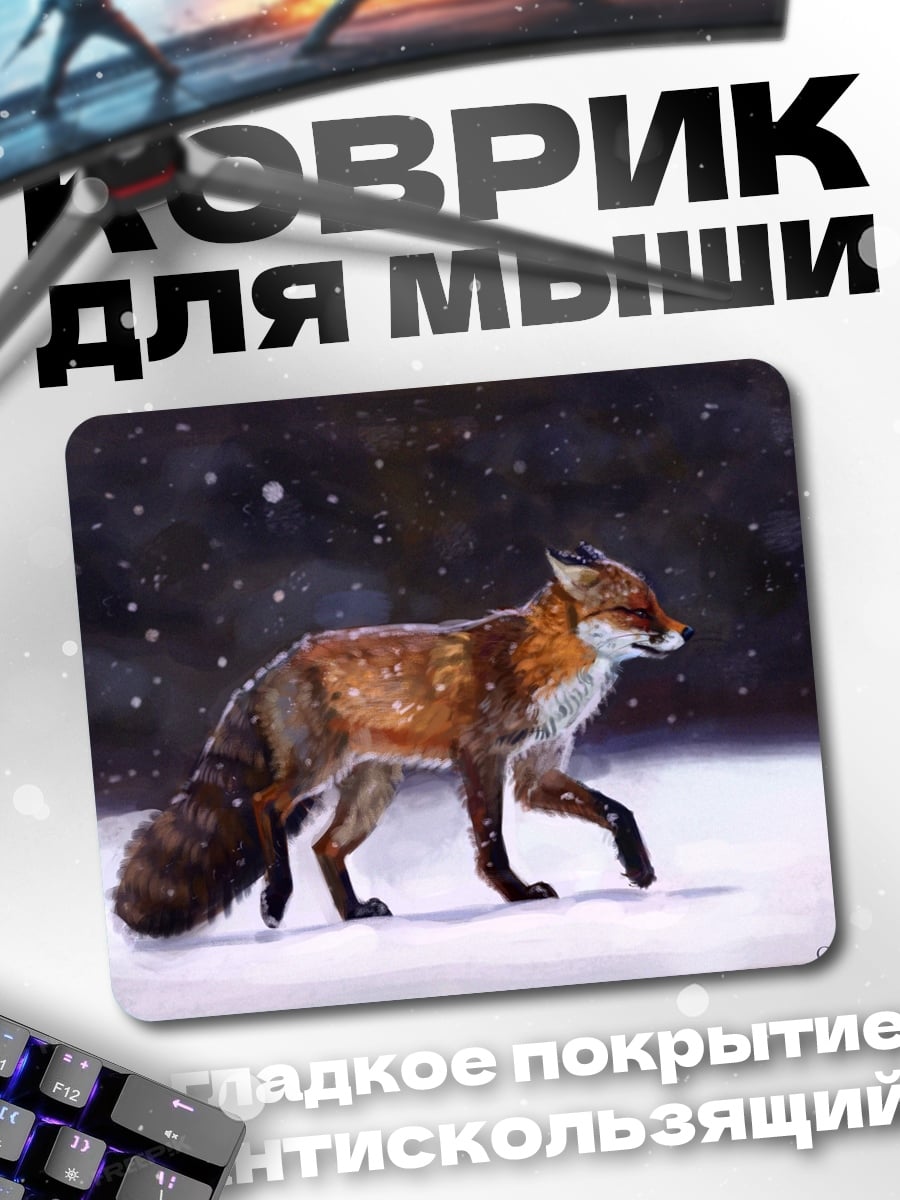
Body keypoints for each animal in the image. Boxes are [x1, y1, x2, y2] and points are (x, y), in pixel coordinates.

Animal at [114, 543, 693, 936]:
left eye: (656, 603)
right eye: (637, 610)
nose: (687, 632)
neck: (545, 660)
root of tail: (271, 668)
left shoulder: (536, 770)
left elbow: (618, 809)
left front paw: (639, 868)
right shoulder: (481, 756)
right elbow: (491, 843)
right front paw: (517, 895)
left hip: (374, 790)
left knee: (324, 846)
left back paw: (352, 913)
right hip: (314, 771)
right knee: (264, 803)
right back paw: (276, 898)